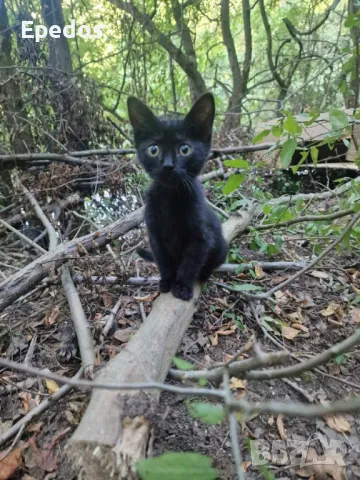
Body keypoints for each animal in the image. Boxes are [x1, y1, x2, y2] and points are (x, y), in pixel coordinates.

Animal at [128, 93, 226, 300]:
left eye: (184, 149)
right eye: (154, 149)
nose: (168, 165)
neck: (169, 197)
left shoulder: (200, 238)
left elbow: (190, 263)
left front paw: (182, 285)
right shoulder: (155, 235)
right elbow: (163, 261)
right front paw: (167, 281)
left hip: (222, 247)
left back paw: (203, 276)